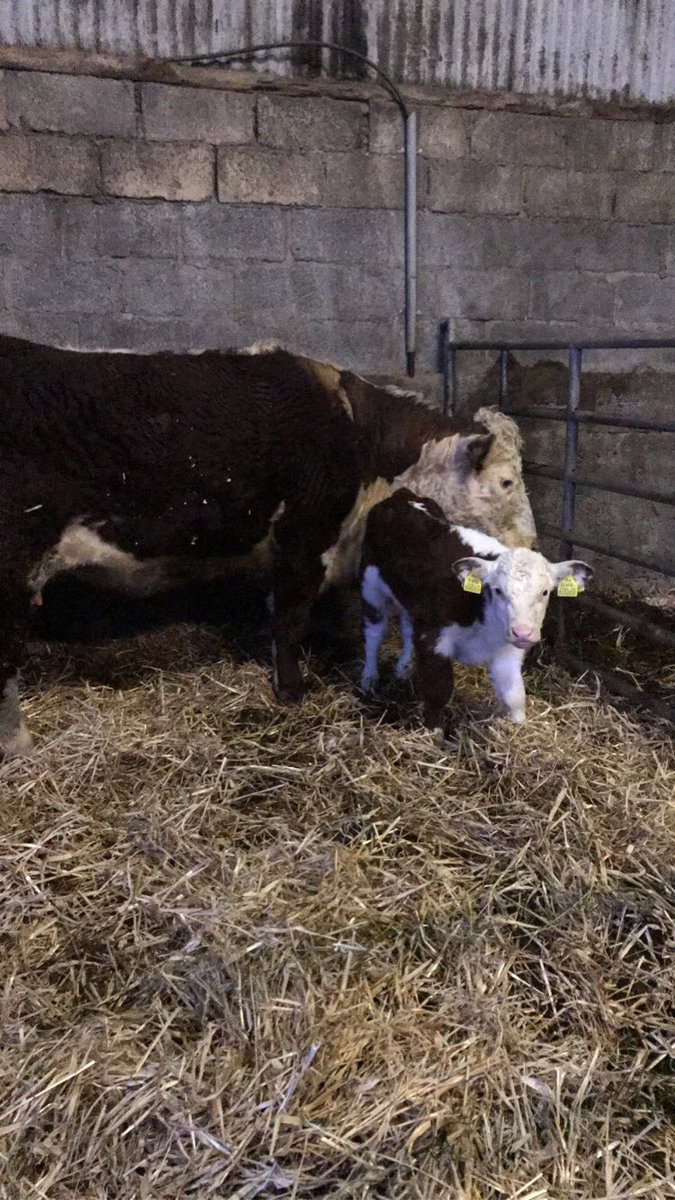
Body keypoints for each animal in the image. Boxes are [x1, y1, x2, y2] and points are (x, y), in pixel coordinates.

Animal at [0, 335, 534, 757]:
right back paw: (18, 744)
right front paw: (292, 691)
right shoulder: (305, 538)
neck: (361, 438)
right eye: (507, 482)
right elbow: (291, 618)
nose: (531, 542)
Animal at [359, 488, 592, 733]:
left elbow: (515, 695)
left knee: (405, 628)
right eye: (498, 590)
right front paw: (433, 733)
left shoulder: (508, 652)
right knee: (374, 634)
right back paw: (369, 678)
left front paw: (518, 727)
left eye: (545, 591)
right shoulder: (433, 639)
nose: (523, 632)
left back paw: (402, 668)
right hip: (370, 587)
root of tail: (402, 495)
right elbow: (438, 689)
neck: (483, 616)